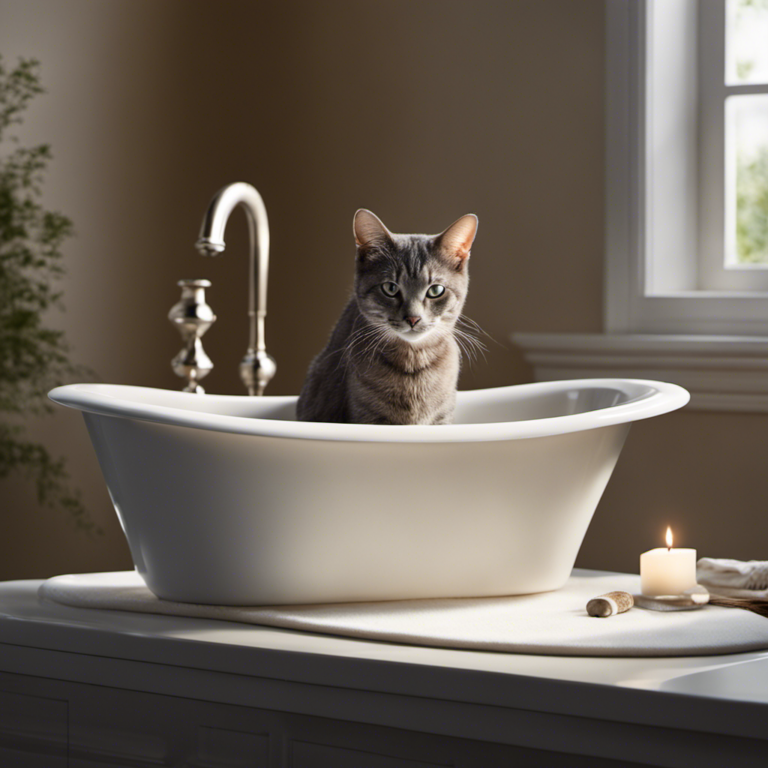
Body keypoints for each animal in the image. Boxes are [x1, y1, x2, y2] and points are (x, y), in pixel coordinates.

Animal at [296, 208, 476, 426]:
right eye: (390, 288)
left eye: (436, 290)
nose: (413, 318)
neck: (412, 366)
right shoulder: (368, 418)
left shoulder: (442, 419)